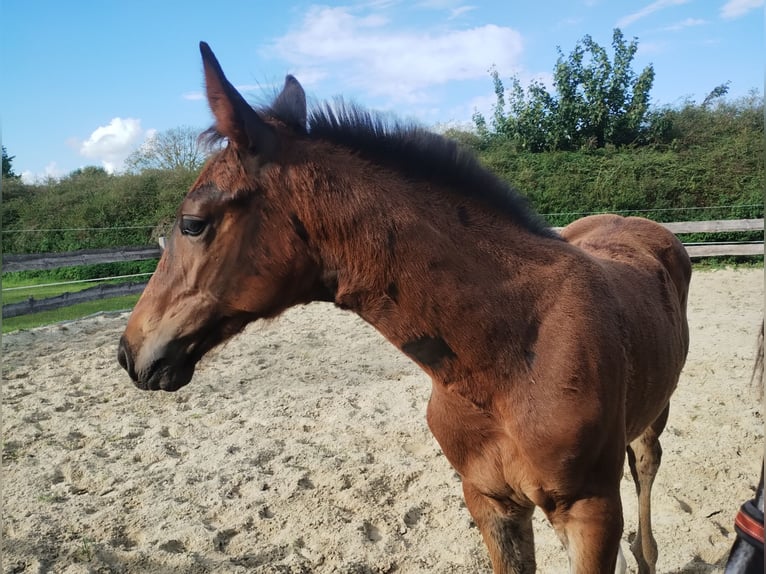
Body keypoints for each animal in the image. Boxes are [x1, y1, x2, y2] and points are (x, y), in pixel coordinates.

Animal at [117, 42, 691, 573]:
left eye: (193, 223)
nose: (129, 352)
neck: (506, 359)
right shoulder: (490, 502)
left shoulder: (590, 512)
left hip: (652, 419)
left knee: (645, 468)